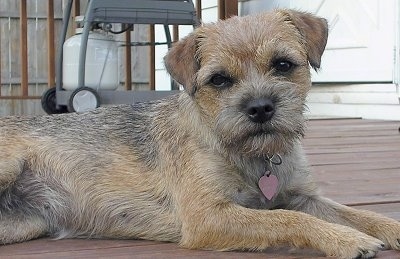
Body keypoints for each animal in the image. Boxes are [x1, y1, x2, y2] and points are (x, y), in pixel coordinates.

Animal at [0, 9, 400, 258]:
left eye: (283, 65)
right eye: (219, 80)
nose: (260, 108)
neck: (251, 156)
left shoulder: (302, 196)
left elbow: (360, 215)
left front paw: (386, 228)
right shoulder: (207, 216)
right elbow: (288, 219)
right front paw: (345, 239)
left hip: (22, 225)